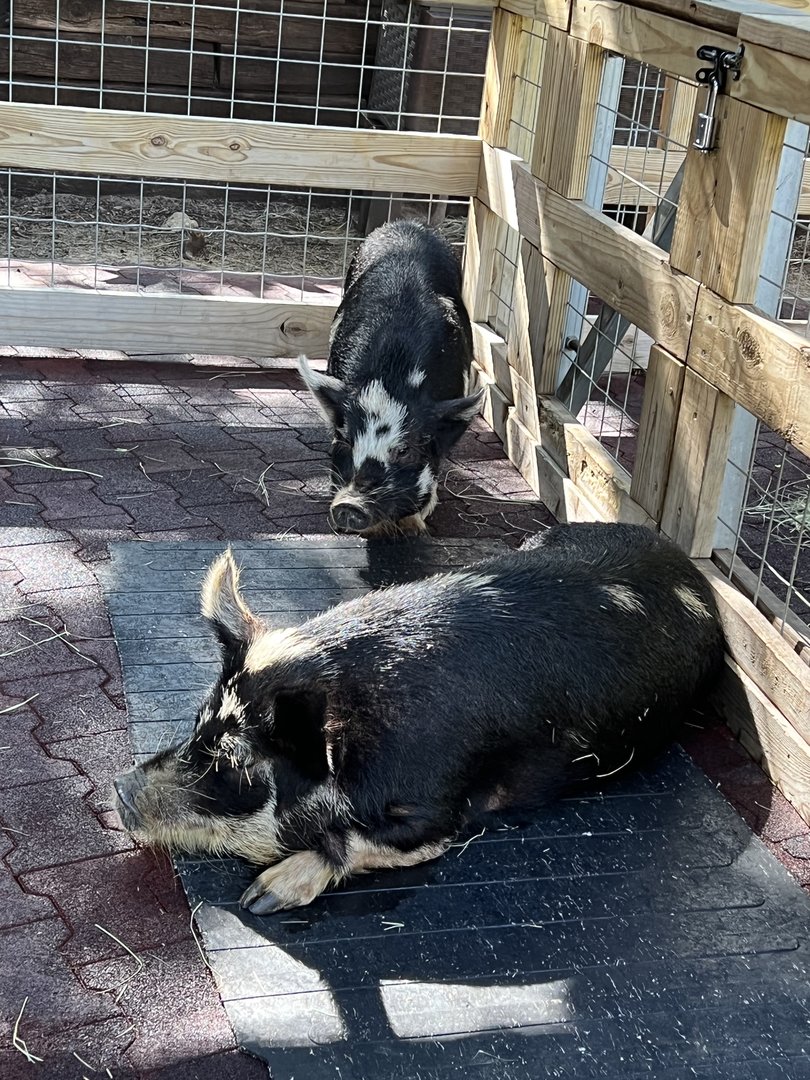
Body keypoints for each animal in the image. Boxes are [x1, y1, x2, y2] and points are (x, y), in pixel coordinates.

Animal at [114, 523, 725, 915]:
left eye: (236, 764)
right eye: (200, 723)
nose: (120, 787)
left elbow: (363, 839)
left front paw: (261, 897)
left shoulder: (442, 807)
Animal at [298, 219, 480, 536]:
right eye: (347, 441)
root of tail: (407, 224)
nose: (350, 504)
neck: (392, 372)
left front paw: (413, 527)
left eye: (405, 450)